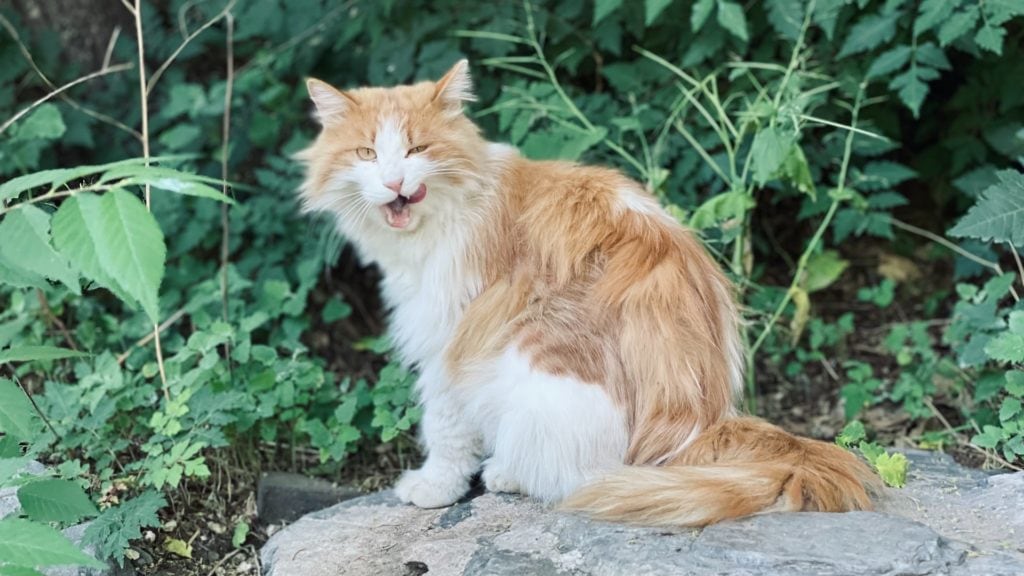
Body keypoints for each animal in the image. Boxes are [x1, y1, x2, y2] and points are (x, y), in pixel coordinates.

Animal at [299, 60, 880, 522]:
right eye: (367, 153)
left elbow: (445, 428)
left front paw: (434, 487)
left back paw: (509, 473)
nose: (394, 182)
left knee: (584, 475)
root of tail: (703, 423)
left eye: (417, 149)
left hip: (533, 359)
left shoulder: (448, 340)